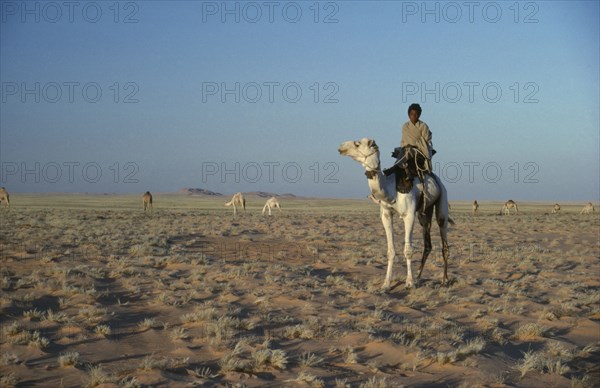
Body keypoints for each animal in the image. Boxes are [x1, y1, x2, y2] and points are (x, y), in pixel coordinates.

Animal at [338, 138, 450, 290]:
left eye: (357, 143)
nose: (341, 147)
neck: (391, 189)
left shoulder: (409, 215)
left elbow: (408, 251)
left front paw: (409, 282)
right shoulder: (386, 215)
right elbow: (390, 251)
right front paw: (386, 284)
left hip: (442, 197)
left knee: (443, 235)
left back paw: (444, 280)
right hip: (424, 212)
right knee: (428, 244)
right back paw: (419, 276)